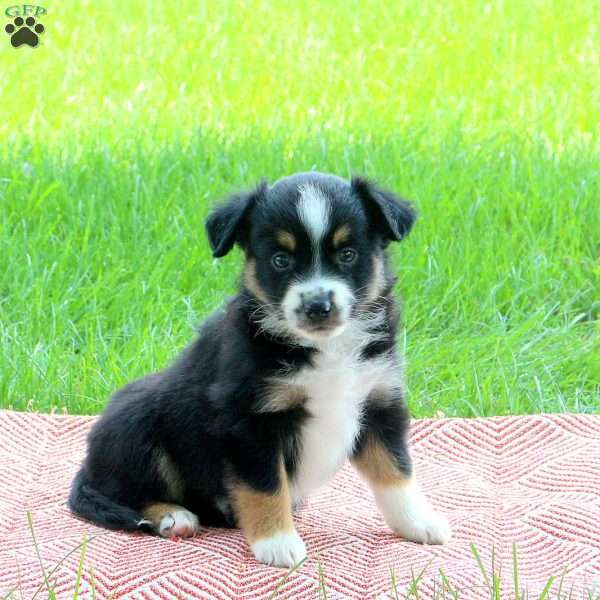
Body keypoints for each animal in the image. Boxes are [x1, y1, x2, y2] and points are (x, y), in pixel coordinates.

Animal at [68, 171, 450, 564]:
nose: (317, 306)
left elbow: (396, 471)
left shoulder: (377, 402)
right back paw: (173, 517)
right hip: (136, 416)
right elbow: (265, 485)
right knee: (123, 493)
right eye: (280, 260)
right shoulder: (249, 420)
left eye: (348, 254)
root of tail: (87, 465)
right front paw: (277, 542)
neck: (325, 348)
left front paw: (419, 523)